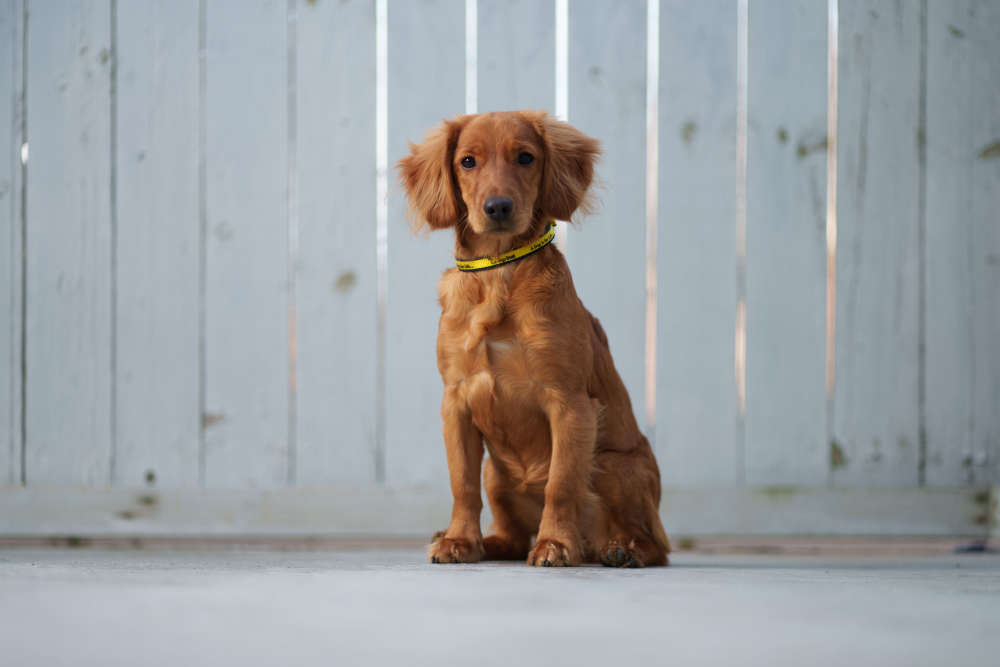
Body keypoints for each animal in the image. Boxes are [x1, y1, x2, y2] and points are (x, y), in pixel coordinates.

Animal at [394, 109, 668, 568]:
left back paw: (621, 550)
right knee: (512, 533)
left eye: (525, 158)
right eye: (467, 162)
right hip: (497, 472)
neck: (498, 274)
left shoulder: (570, 403)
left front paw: (555, 543)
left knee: (657, 545)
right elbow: (461, 483)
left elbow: (561, 483)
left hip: (613, 466)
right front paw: (459, 540)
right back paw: (488, 544)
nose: (498, 207)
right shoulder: (456, 403)